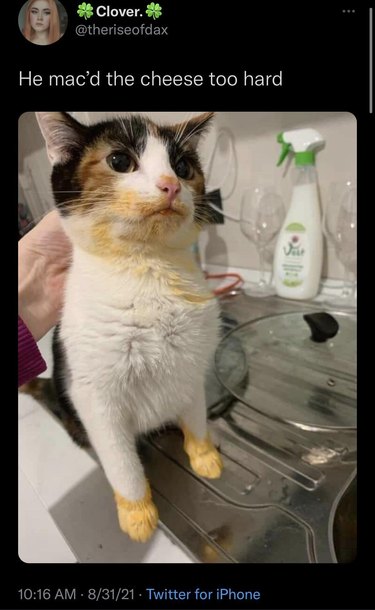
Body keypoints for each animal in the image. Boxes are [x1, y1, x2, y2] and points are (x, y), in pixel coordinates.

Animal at [34, 113, 223, 540]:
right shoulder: (93, 396)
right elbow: (122, 463)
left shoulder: (191, 369)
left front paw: (203, 453)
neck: (147, 268)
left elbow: (196, 415)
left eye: (183, 167)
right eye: (120, 161)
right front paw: (136, 513)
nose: (170, 184)